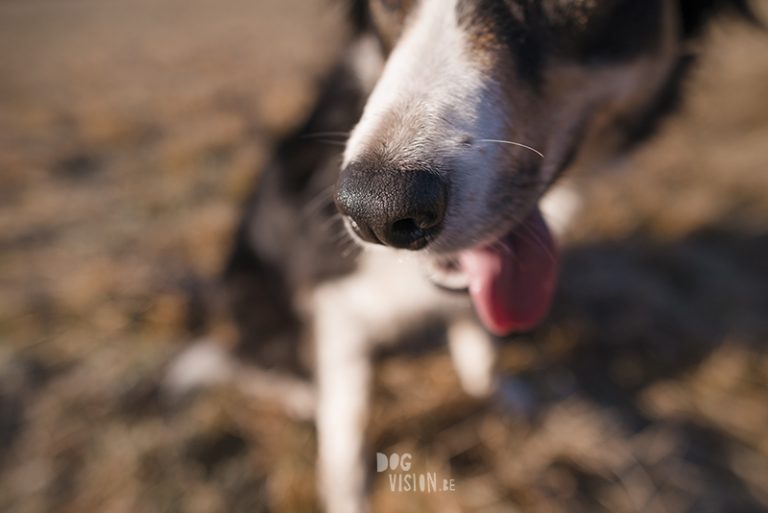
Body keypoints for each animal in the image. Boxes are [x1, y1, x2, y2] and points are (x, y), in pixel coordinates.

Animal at [164, 2, 756, 510]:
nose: (377, 215)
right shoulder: (332, 293)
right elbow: (347, 420)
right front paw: (346, 488)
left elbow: (481, 349)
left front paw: (503, 397)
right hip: (247, 284)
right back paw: (295, 391)